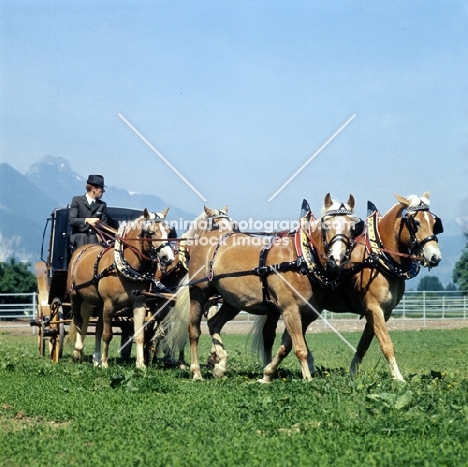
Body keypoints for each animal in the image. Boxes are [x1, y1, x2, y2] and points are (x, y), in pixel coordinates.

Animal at [66, 209, 175, 370]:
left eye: (168, 231)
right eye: (151, 232)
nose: (169, 258)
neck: (125, 268)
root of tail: (82, 249)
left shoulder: (139, 304)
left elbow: (139, 334)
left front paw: (141, 364)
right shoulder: (109, 305)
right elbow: (107, 335)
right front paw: (105, 364)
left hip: (100, 304)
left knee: (98, 327)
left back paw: (96, 359)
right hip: (75, 296)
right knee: (79, 321)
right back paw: (78, 351)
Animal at [171, 193, 362, 380]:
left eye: (352, 228)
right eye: (326, 226)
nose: (337, 258)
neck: (301, 259)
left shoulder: (307, 314)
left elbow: (286, 346)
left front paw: (267, 373)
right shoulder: (289, 309)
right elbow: (300, 348)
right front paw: (308, 379)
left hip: (233, 300)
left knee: (214, 324)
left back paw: (221, 366)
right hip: (199, 293)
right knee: (194, 330)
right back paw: (196, 372)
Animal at [258, 192, 444, 382]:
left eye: (434, 223)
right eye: (416, 223)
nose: (435, 257)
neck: (378, 257)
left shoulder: (383, 312)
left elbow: (363, 345)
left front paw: (353, 372)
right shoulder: (374, 308)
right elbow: (386, 344)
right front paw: (398, 378)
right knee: (273, 337)